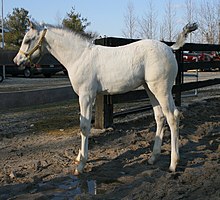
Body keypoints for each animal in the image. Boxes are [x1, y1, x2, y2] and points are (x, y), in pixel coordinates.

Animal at [14, 21, 199, 174]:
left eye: (28, 40)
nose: (17, 61)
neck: (78, 56)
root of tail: (170, 48)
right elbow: (83, 124)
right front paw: (78, 157)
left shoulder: (86, 96)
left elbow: (84, 126)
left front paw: (81, 165)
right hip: (150, 89)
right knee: (160, 117)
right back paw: (153, 158)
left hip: (161, 89)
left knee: (172, 117)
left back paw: (173, 164)